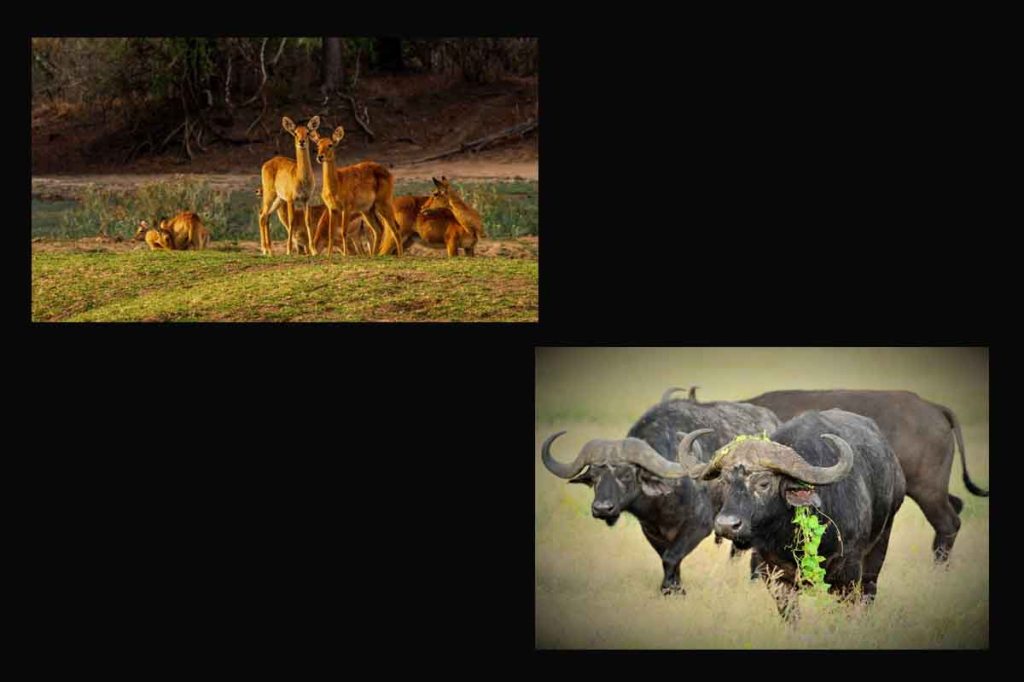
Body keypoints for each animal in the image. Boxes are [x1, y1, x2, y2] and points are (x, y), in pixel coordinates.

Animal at [258, 115, 321, 256]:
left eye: (307, 132)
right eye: (295, 133)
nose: (302, 142)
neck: (301, 178)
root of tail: (266, 163)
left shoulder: (306, 199)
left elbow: (307, 221)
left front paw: (314, 251)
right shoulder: (291, 199)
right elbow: (291, 220)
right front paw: (289, 250)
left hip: (279, 200)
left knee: (265, 216)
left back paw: (269, 250)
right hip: (270, 195)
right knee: (262, 214)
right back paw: (265, 249)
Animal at [308, 125, 404, 257]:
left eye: (330, 144)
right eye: (318, 145)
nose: (320, 157)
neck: (337, 183)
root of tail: (388, 173)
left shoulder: (346, 208)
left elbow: (343, 232)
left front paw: (345, 256)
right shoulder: (333, 209)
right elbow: (331, 233)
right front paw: (329, 256)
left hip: (383, 204)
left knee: (395, 228)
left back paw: (400, 255)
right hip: (368, 210)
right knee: (379, 229)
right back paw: (373, 255)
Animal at [540, 395, 780, 595]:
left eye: (626, 474)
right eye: (594, 476)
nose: (602, 508)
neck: (664, 502)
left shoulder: (699, 526)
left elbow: (671, 557)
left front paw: (670, 589)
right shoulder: (651, 531)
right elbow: (667, 559)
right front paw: (674, 588)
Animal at [677, 409, 905, 619]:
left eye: (764, 483)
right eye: (724, 481)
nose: (726, 525)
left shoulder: (848, 572)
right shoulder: (774, 574)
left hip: (880, 542)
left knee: (870, 590)